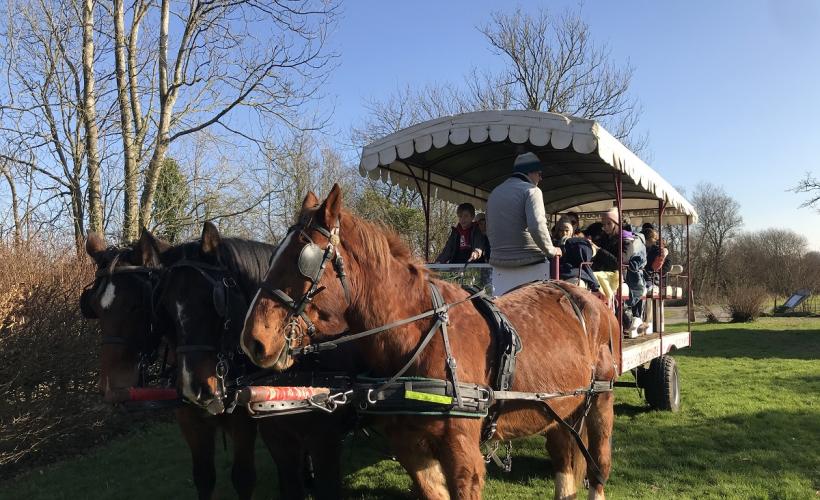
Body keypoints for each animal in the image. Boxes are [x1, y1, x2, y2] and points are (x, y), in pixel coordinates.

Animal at [145, 222, 355, 500]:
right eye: (164, 307)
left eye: (215, 300)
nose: (194, 390)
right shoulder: (196, 422)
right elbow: (204, 478)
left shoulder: (322, 438)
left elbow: (244, 478)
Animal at [240, 185, 620, 500]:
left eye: (304, 261)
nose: (253, 340)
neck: (420, 336)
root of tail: (585, 296)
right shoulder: (413, 450)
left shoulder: (463, 455)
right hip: (561, 409)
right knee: (564, 461)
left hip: (600, 400)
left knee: (599, 468)